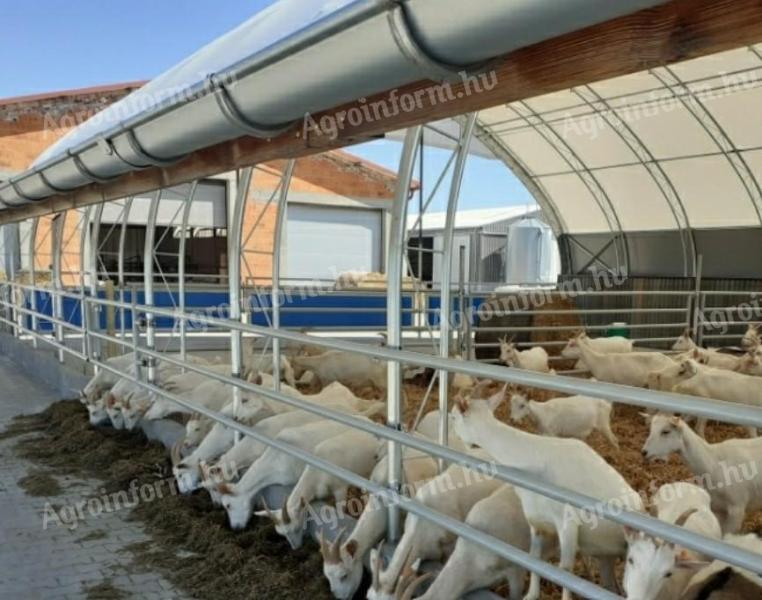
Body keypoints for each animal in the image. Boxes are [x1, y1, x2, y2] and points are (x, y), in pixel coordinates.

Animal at [452, 386, 640, 596]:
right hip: (606, 556)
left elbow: (565, 571)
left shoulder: (568, 524)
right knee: (609, 583)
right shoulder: (536, 521)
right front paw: (531, 594)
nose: (456, 437)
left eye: (453, 416)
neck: (536, 455)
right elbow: (535, 559)